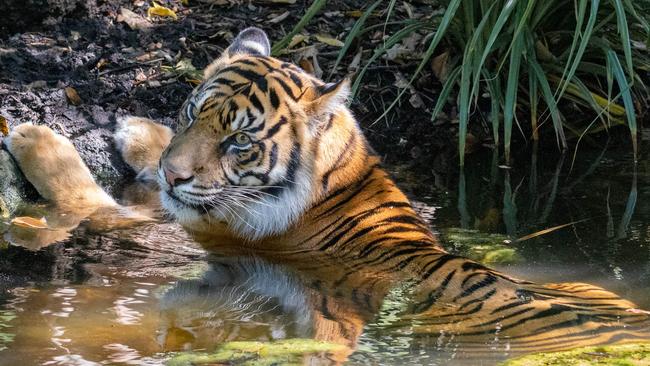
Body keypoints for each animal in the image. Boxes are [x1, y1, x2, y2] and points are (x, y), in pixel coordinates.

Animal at [1, 26, 648, 364]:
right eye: (190, 112)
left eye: (239, 141)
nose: (178, 174)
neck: (345, 171)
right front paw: (141, 135)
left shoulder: (207, 233)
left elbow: (93, 203)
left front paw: (35, 136)